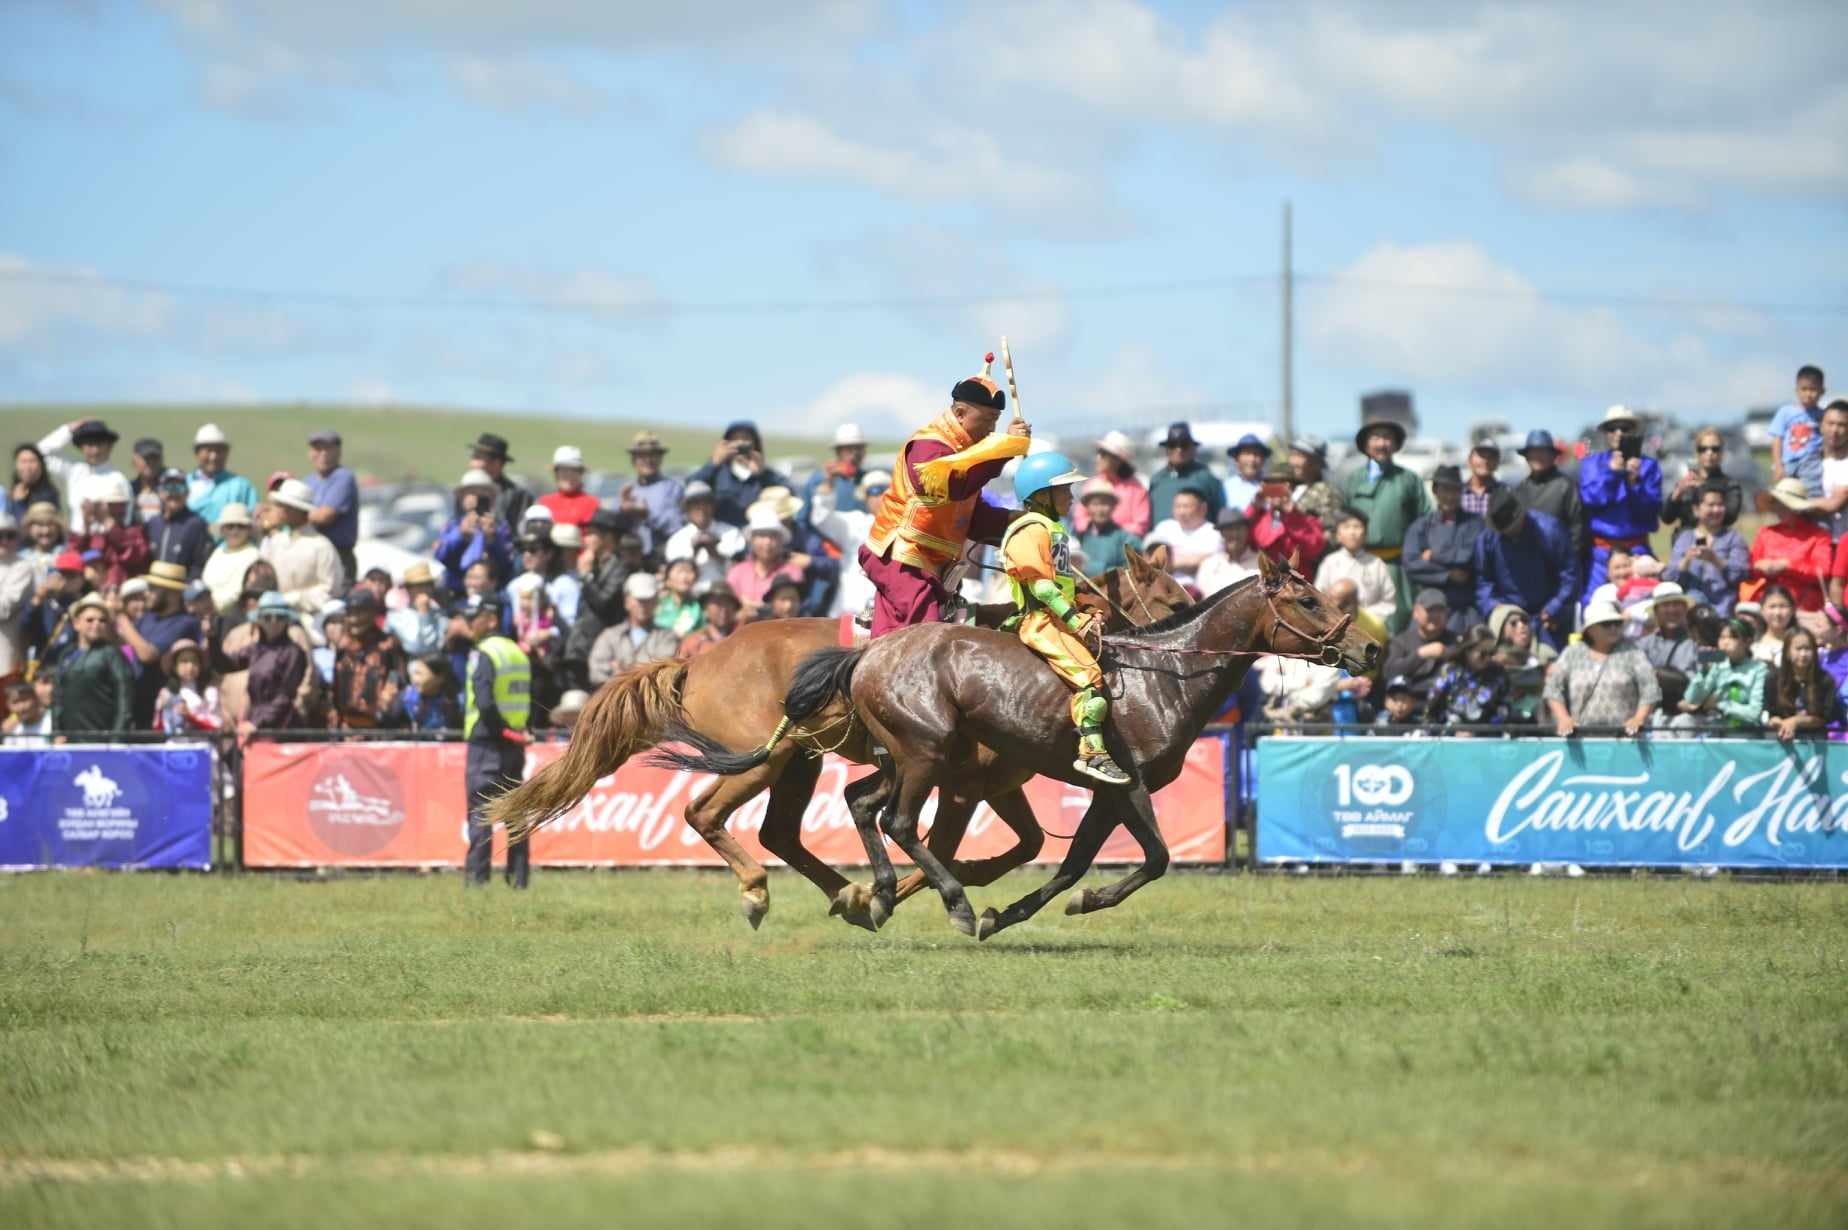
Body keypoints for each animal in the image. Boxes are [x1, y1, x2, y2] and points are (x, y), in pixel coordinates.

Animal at [484, 542, 1190, 923]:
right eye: (1172, 600)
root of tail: (698, 661)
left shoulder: (988, 782)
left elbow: (1014, 846)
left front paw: (915, 893)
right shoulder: (963, 782)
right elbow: (946, 843)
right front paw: (931, 896)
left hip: (800, 763)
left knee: (778, 832)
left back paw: (847, 894)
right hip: (761, 762)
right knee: (705, 814)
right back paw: (761, 892)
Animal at [661, 550, 1374, 934]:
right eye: (1308, 599)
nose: (1369, 646)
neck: (1159, 676)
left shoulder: (1089, 791)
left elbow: (1066, 862)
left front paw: (1014, 910)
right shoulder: (1123, 785)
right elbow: (1154, 857)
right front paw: (995, 901)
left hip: (857, 761)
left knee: (845, 813)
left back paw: (869, 895)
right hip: (887, 756)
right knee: (871, 819)